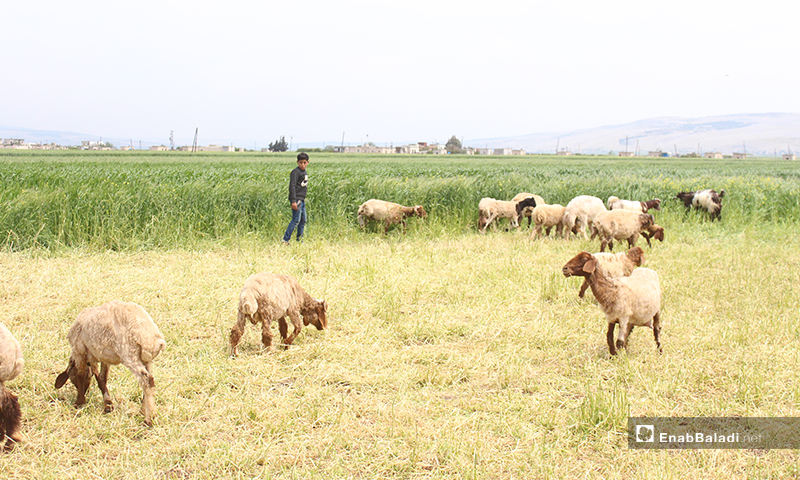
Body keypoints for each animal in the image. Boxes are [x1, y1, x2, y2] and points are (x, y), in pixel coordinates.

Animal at [54, 300, 166, 428]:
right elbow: (102, 378)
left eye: (72, 378)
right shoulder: (103, 357)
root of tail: (155, 339)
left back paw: (149, 419)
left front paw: (79, 402)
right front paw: (107, 405)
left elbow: (83, 375)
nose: (86, 392)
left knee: (146, 380)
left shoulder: (80, 351)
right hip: (147, 360)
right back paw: (143, 411)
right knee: (149, 382)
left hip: (129, 354)